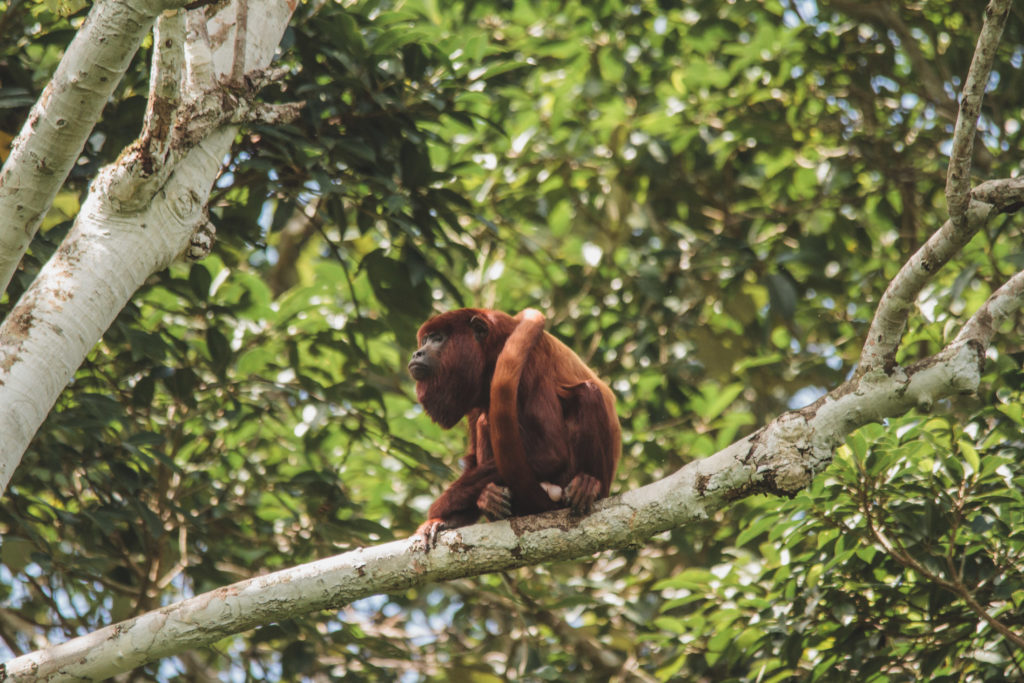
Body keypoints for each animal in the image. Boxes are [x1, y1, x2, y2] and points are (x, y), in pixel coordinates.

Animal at [405, 307, 614, 548]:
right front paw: (446, 521)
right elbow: (472, 458)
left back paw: (587, 485)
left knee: (588, 394)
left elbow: (550, 453)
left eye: (438, 339)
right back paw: (491, 501)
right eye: (425, 340)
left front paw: (441, 506)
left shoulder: (530, 365)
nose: (417, 353)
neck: (492, 353)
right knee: (485, 420)